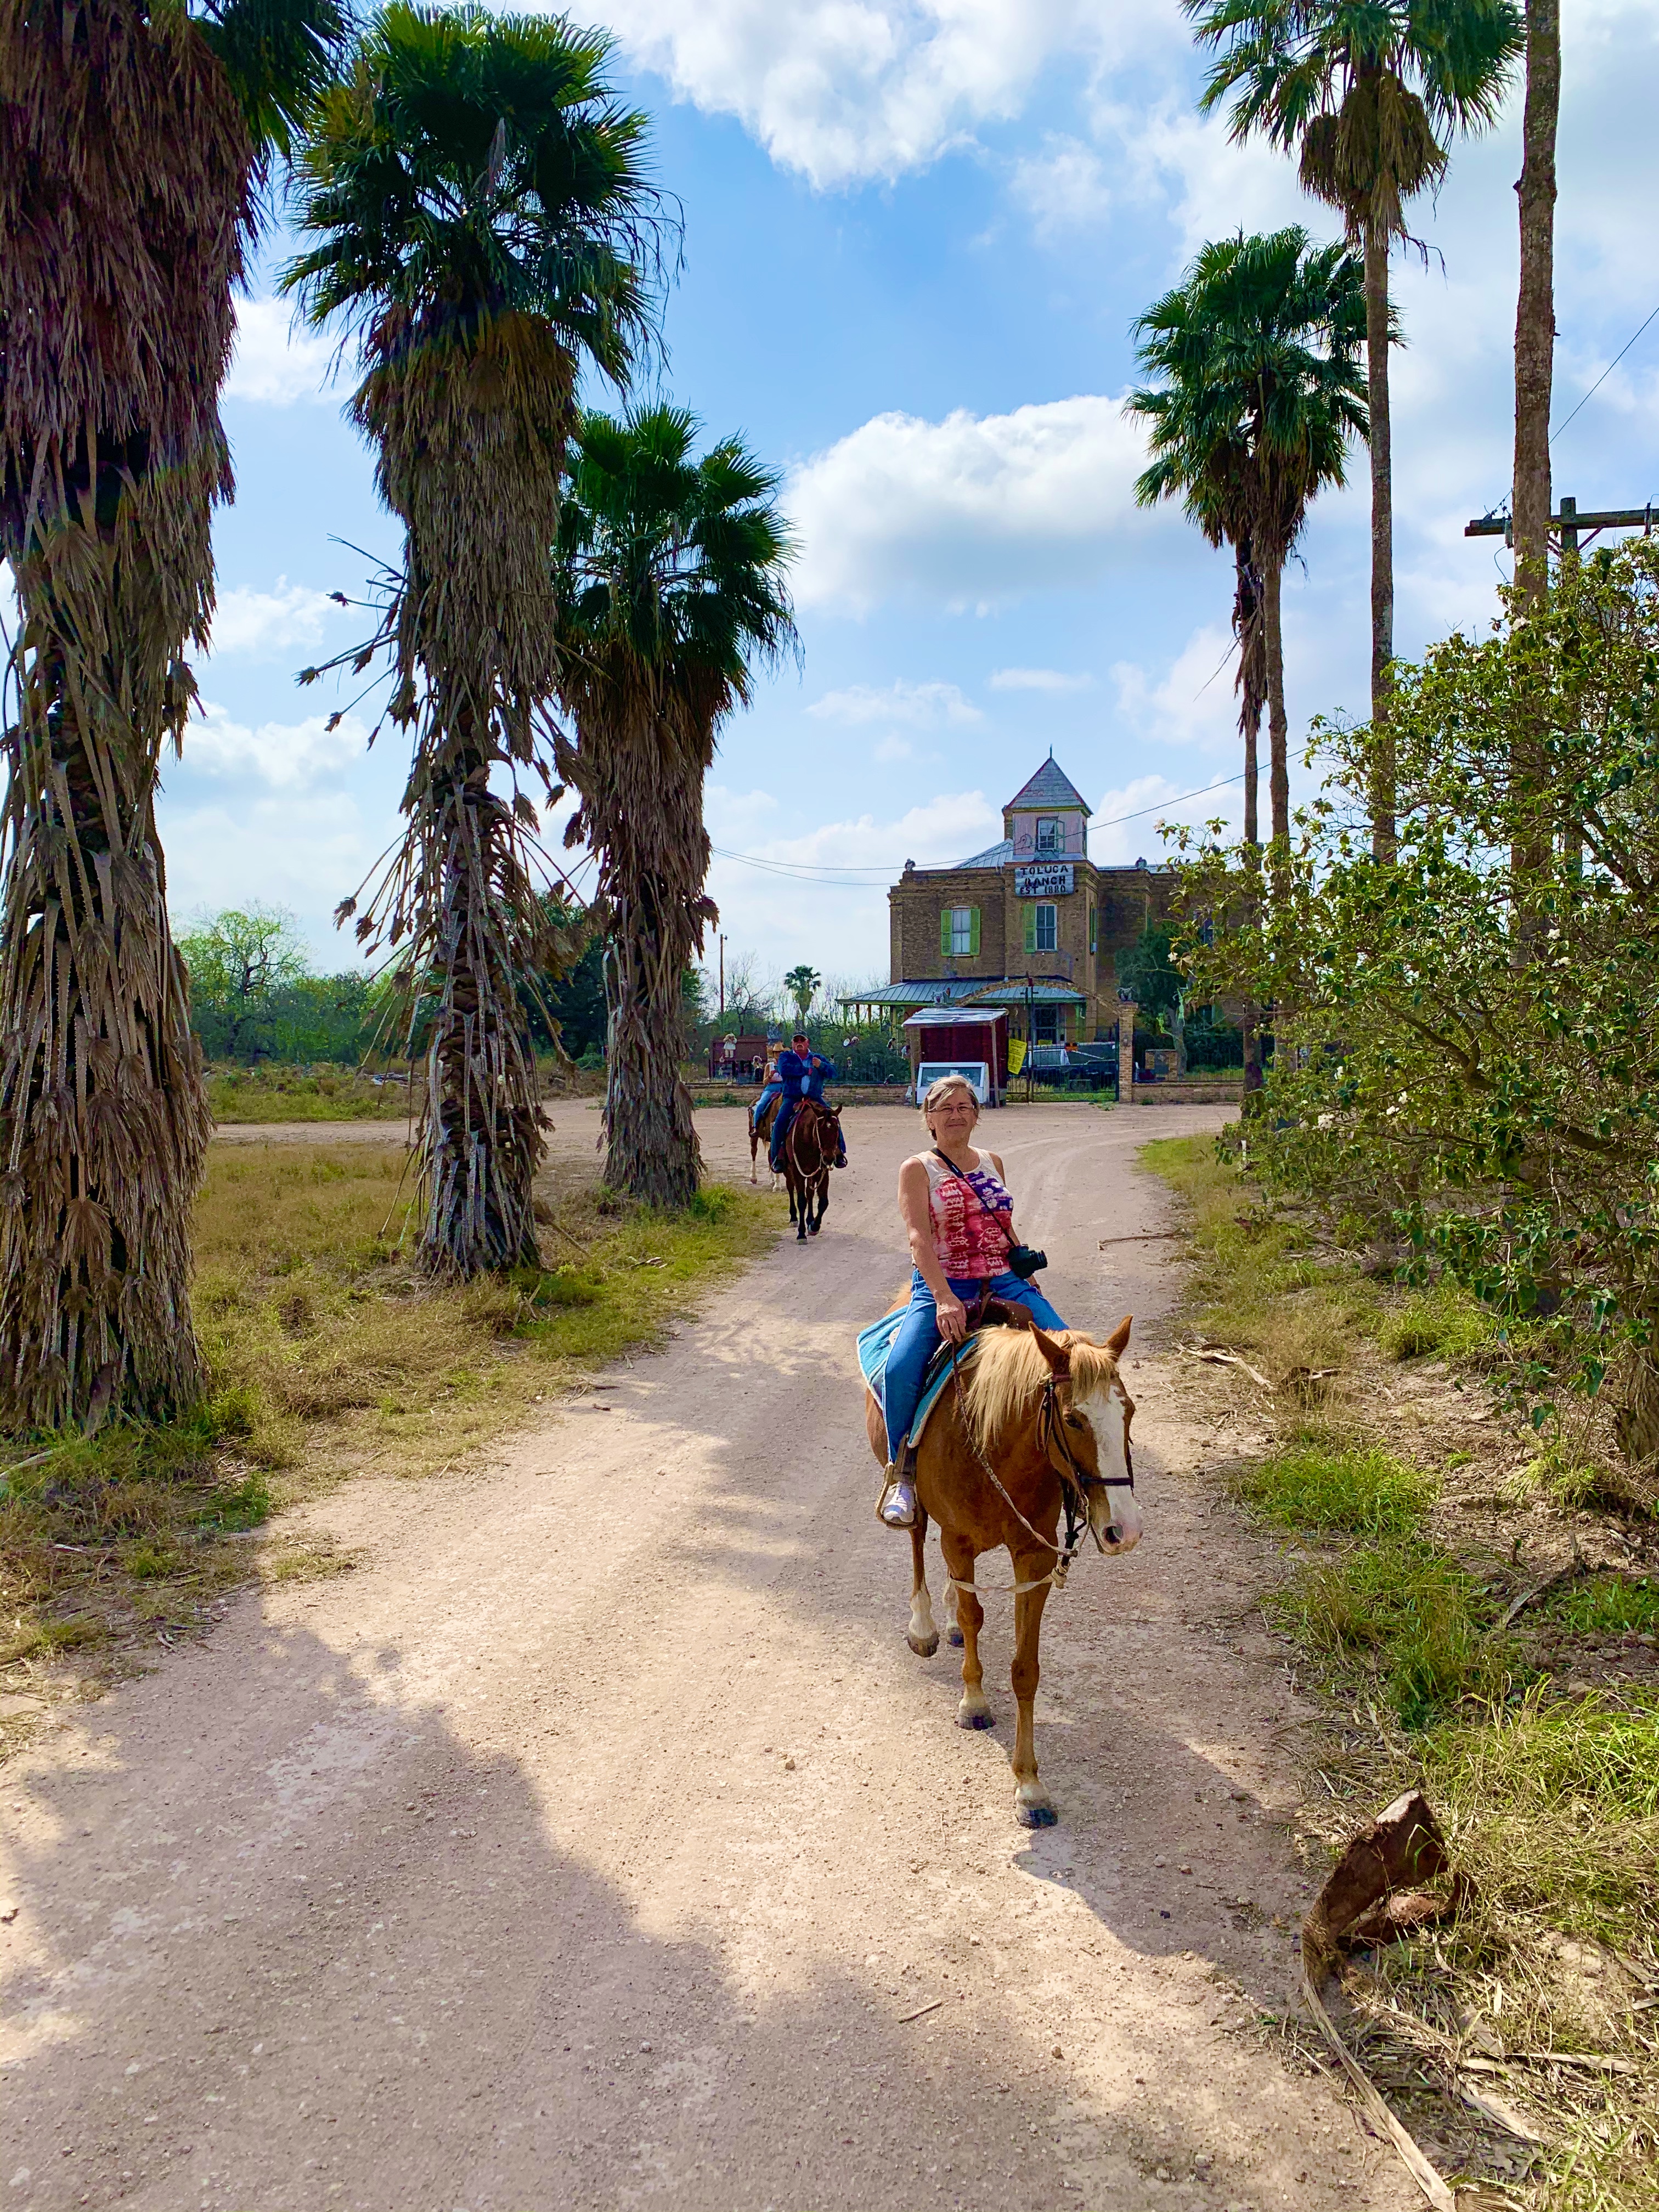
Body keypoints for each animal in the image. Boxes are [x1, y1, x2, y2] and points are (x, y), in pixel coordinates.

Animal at [783, 1101, 845, 1248]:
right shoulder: (797, 1171)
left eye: (837, 1130)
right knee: (791, 1188)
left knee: (810, 1194)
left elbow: (823, 1202)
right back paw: (794, 1218)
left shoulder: (823, 1171)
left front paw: (814, 1226)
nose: (829, 1158)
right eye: (820, 1130)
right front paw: (801, 1235)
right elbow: (801, 1201)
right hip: (789, 1169)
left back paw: (810, 1219)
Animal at [871, 1300, 1141, 1822]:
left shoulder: (1034, 1560)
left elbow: (1025, 1669)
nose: (1125, 1529)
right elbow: (974, 1616)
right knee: (917, 1540)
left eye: (1130, 1412)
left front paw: (1030, 1784)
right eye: (1073, 1420)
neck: (990, 1441)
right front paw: (974, 1702)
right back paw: (925, 1626)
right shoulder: (956, 1541)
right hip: (919, 1506)